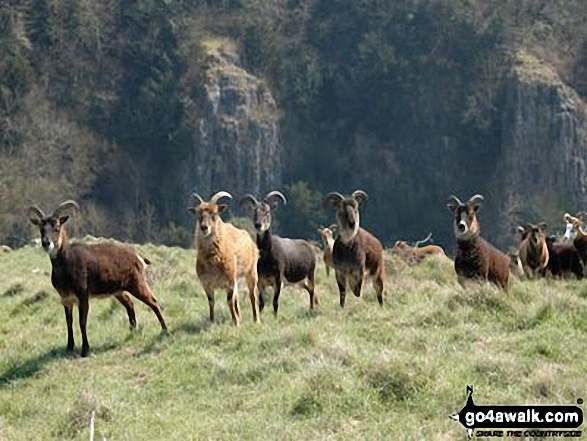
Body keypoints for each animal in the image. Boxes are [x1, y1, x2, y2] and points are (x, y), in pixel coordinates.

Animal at [26, 201, 167, 356]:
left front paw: (85, 350)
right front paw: (69, 347)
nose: (46, 243)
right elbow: (69, 321)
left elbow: (82, 321)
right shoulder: (66, 298)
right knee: (130, 304)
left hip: (137, 283)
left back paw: (164, 330)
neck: (67, 264)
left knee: (153, 302)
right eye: (41, 229)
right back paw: (132, 331)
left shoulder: (82, 294)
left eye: (57, 228)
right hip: (118, 290)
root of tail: (138, 256)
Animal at [189, 189, 260, 324]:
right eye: (198, 212)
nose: (204, 227)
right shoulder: (206, 283)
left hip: (251, 271)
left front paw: (236, 322)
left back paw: (256, 319)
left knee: (252, 295)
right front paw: (212, 321)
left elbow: (229, 300)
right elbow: (211, 302)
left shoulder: (230, 280)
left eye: (215, 212)